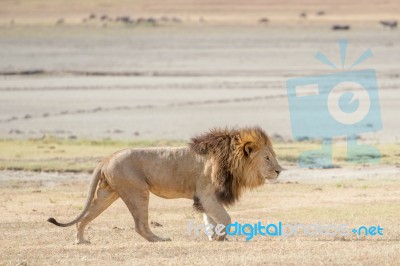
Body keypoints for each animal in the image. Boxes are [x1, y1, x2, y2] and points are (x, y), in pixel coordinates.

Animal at [48, 127, 282, 243]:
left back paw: (80, 240)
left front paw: (213, 236)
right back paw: (159, 239)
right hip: (137, 191)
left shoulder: (206, 197)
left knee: (84, 217)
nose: (280, 170)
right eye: (267, 158)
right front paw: (220, 236)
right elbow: (225, 218)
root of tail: (106, 158)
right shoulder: (207, 193)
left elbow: (210, 219)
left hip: (108, 193)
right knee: (140, 225)